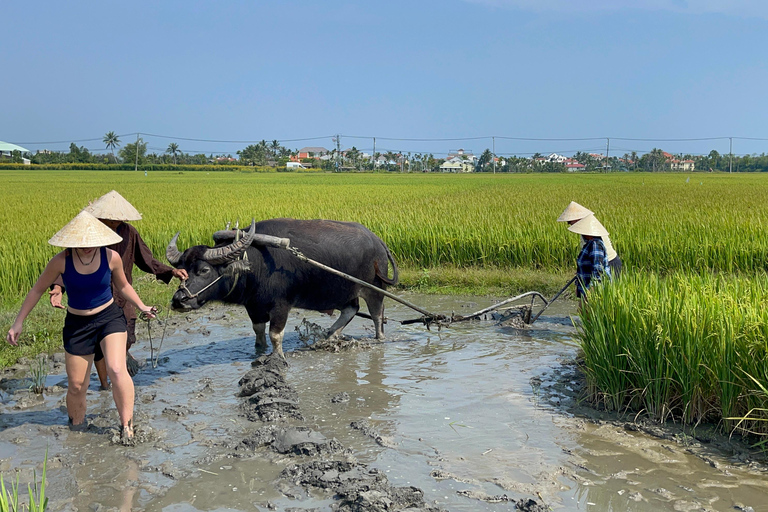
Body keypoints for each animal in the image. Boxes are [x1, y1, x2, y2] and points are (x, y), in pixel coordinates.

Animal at [165, 218, 400, 358]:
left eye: (204, 270)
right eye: (182, 269)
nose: (179, 300)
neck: (256, 263)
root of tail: (378, 241)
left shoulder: (281, 305)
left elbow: (275, 334)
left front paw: (278, 357)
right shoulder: (254, 307)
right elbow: (259, 331)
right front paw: (259, 352)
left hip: (374, 289)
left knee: (377, 315)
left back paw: (378, 339)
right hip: (344, 291)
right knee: (351, 309)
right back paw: (330, 334)